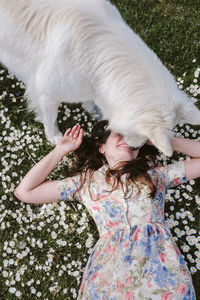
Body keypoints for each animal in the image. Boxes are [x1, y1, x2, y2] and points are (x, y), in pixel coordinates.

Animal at [0, 0, 200, 156]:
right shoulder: (46, 94)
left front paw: (93, 110)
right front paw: (55, 138)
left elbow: (89, 100)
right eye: (143, 136)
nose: (134, 149)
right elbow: (50, 119)